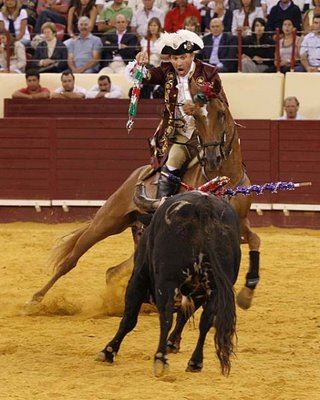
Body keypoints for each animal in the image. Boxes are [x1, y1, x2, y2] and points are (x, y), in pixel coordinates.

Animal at [30, 94, 260, 310]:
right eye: (197, 118)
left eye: (221, 114)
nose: (212, 158)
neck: (225, 181)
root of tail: (137, 174)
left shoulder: (239, 224)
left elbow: (255, 240)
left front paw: (245, 296)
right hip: (107, 221)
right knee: (71, 260)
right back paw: (35, 298)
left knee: (114, 271)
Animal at [96, 192, 241, 376]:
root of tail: (203, 207)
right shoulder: (198, 293)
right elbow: (184, 316)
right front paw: (173, 343)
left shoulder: (137, 280)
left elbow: (129, 319)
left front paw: (108, 351)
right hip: (215, 288)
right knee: (206, 321)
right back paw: (195, 362)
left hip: (167, 282)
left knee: (165, 317)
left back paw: (160, 359)